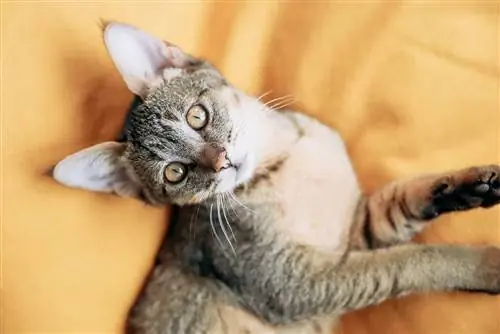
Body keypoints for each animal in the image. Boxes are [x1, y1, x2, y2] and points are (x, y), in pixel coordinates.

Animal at [51, 22, 500, 332]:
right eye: (175, 173)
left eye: (197, 116)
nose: (221, 161)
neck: (287, 157)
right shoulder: (296, 284)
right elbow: (411, 263)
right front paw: (485, 264)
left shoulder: (356, 231)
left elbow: (407, 199)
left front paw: (473, 185)